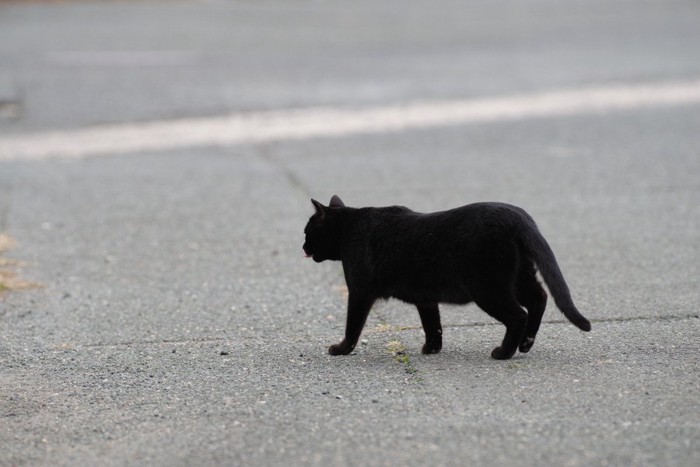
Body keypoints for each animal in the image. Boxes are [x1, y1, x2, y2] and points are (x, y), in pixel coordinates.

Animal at [302, 196, 592, 360]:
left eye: (307, 232)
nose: (302, 246)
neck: (349, 229)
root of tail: (517, 215)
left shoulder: (359, 292)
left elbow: (353, 325)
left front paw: (341, 349)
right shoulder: (425, 298)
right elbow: (433, 325)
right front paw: (432, 349)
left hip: (489, 289)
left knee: (519, 314)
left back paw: (503, 353)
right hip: (520, 276)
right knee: (539, 298)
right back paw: (526, 344)